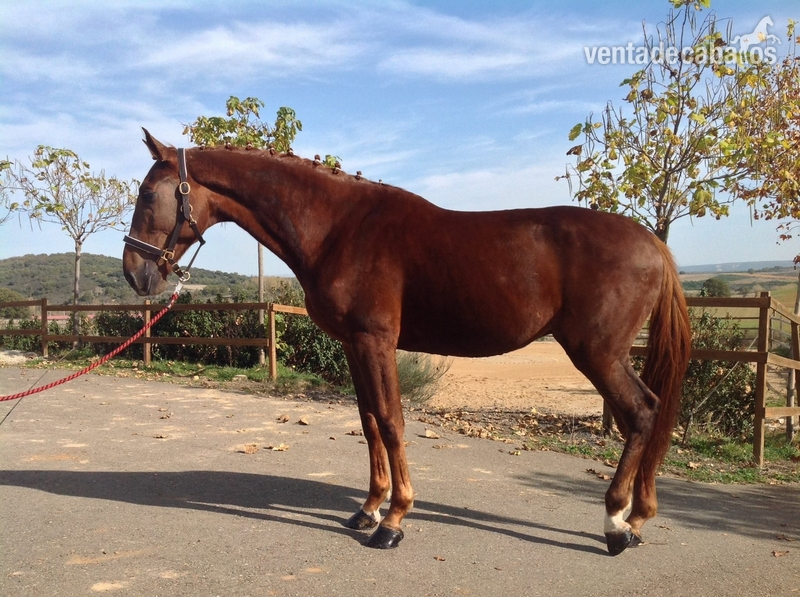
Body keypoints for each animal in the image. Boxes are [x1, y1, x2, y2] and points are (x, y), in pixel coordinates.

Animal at [123, 130, 691, 556]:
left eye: (149, 195)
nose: (135, 272)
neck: (339, 228)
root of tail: (653, 243)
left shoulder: (376, 340)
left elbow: (393, 421)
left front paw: (393, 521)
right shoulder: (354, 344)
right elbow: (369, 421)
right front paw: (368, 508)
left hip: (597, 352)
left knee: (642, 412)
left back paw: (616, 523)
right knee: (653, 411)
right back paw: (639, 517)